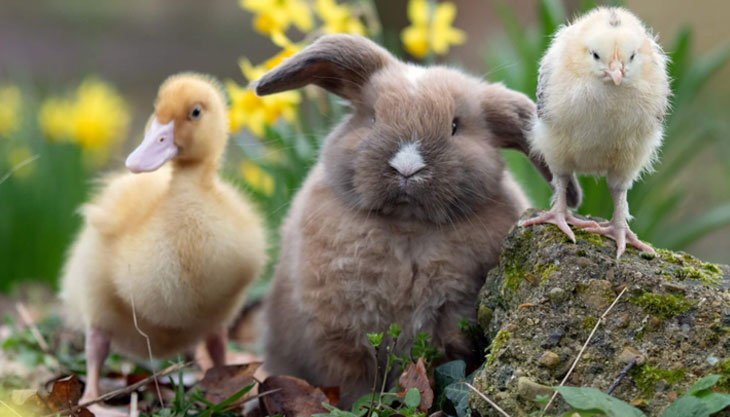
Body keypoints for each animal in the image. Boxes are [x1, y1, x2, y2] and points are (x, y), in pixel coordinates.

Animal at [253, 34, 576, 404]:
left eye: (455, 126)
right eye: (373, 118)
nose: (407, 167)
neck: (408, 229)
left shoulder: (450, 326)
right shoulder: (338, 339)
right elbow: (353, 386)